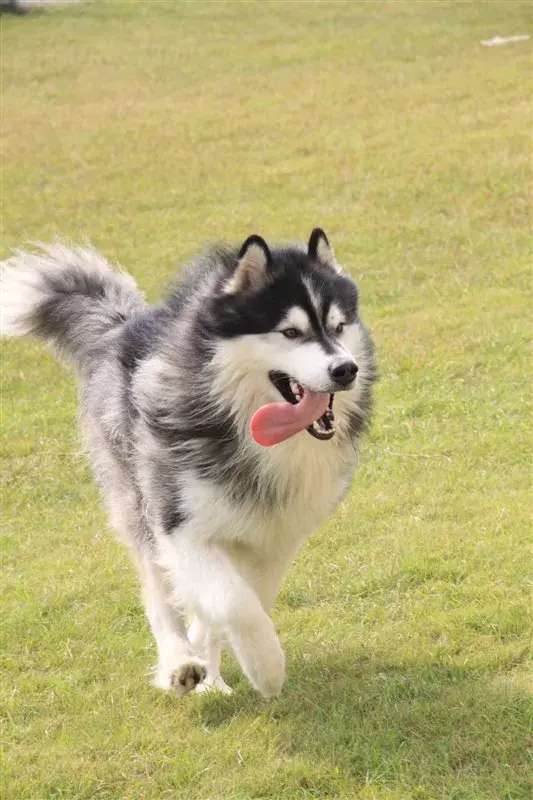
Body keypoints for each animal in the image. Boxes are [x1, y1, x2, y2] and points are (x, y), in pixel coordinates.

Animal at [1, 228, 374, 696]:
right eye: (290, 332)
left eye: (339, 326)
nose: (346, 370)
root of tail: (126, 322)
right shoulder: (181, 526)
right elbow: (233, 603)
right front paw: (266, 668)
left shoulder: (277, 533)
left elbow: (245, 599)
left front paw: (227, 655)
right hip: (139, 502)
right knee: (159, 596)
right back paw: (179, 662)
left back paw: (207, 672)